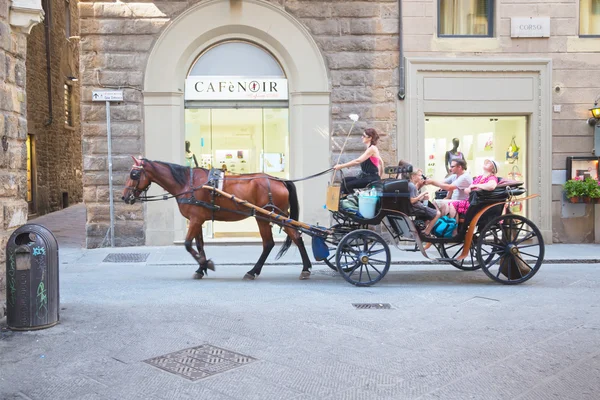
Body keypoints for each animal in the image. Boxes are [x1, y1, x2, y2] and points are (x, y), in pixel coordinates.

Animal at [119, 155, 312, 280]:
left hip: (269, 216)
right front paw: (201, 267)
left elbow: (188, 245)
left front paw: (207, 264)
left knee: (279, 241)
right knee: (288, 238)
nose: (124, 197)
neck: (188, 184)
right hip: (273, 216)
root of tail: (279, 180)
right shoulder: (198, 220)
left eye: (134, 174)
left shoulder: (195, 220)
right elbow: (199, 245)